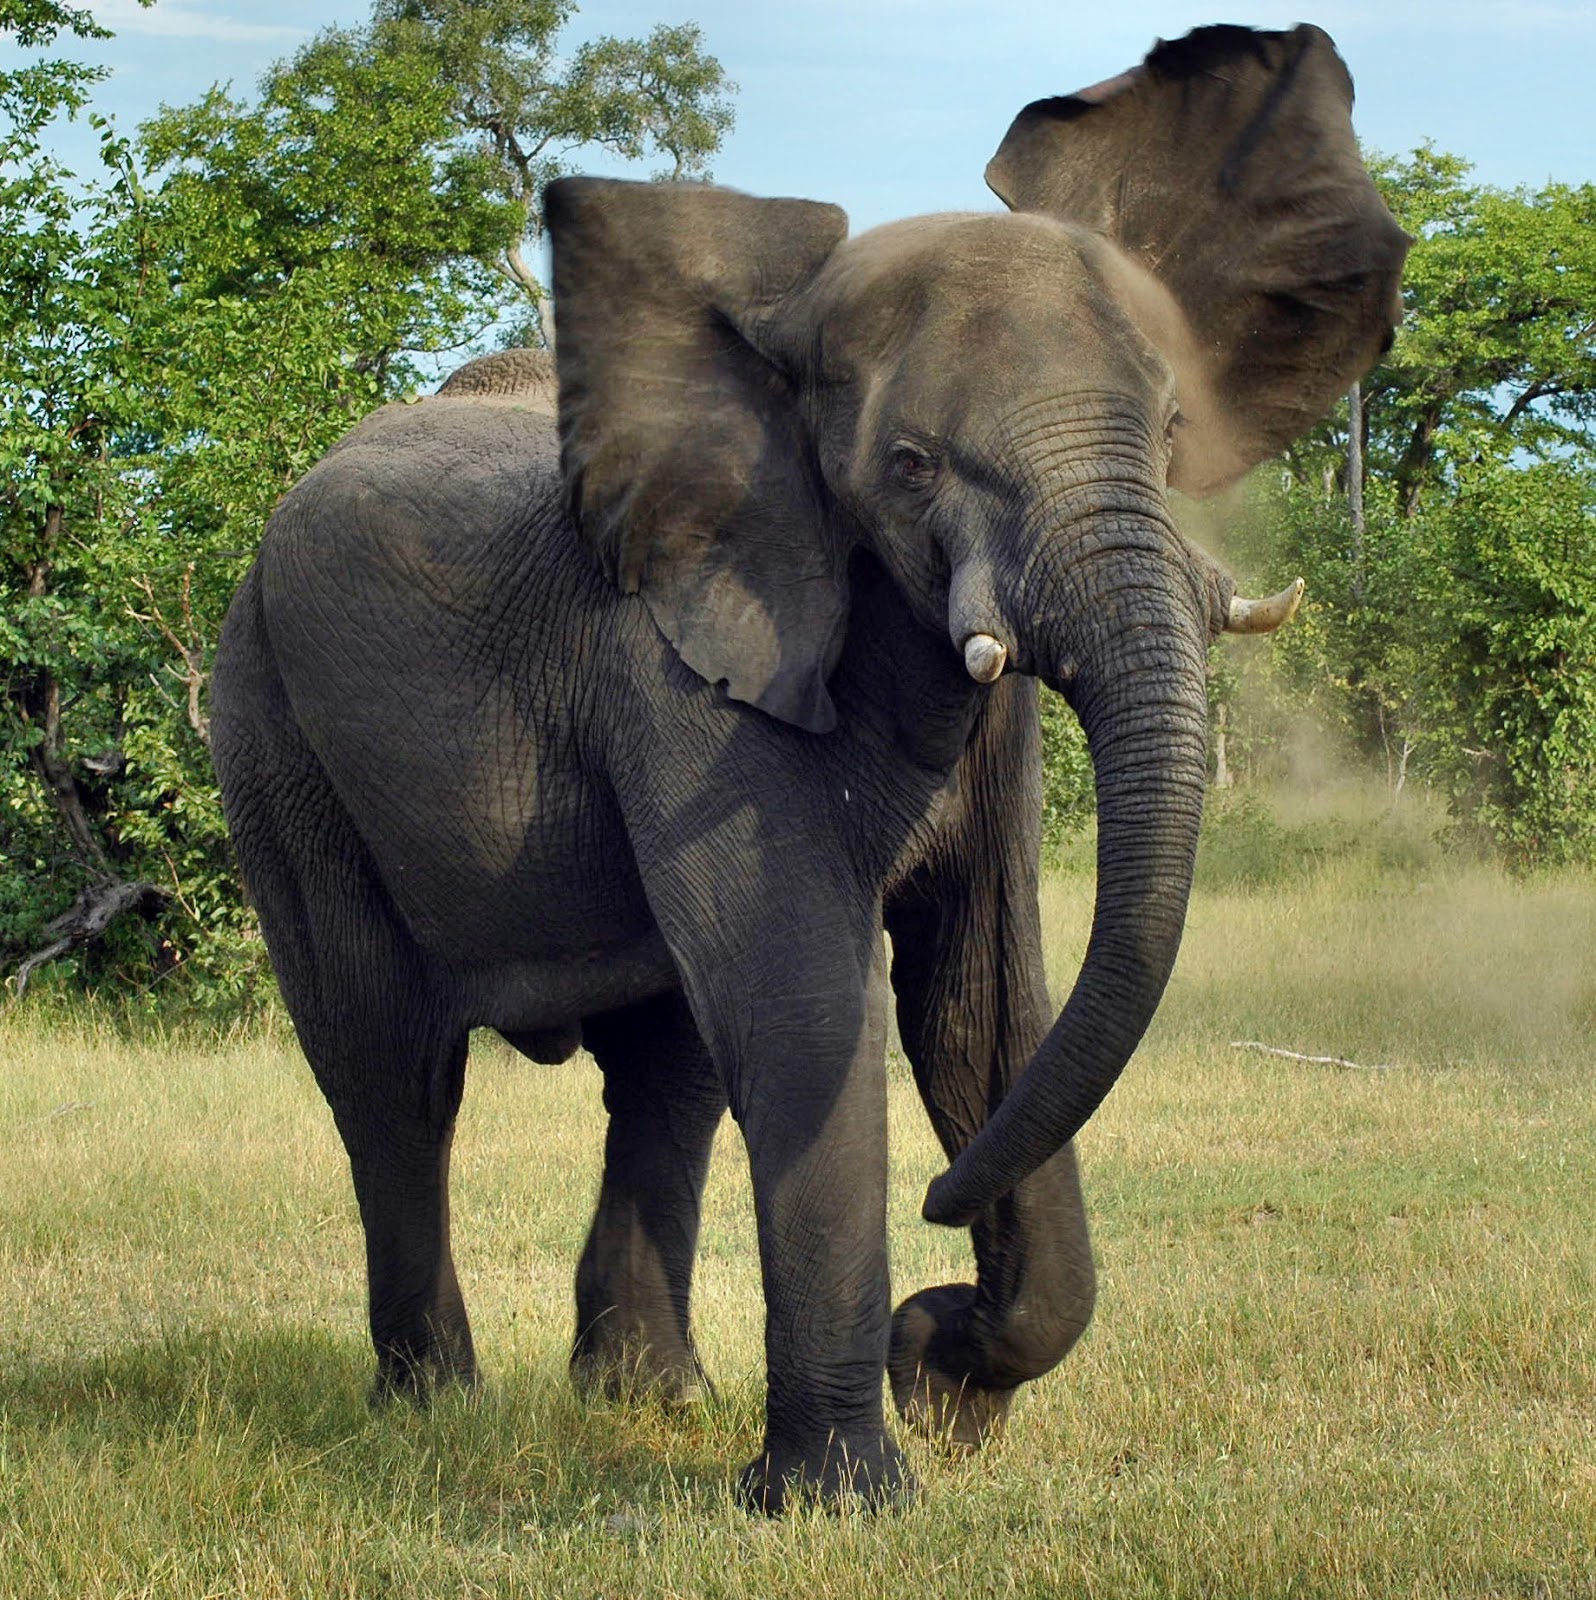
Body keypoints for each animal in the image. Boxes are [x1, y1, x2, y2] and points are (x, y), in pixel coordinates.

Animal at [209, 23, 1407, 1511]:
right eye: (910, 463)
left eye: (1173, 423)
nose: (943, 1254)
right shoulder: (680, 665)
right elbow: (803, 999)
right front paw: (848, 1498)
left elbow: (981, 1001)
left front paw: (947, 1392)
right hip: (272, 731)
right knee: (392, 1069)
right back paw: (435, 1411)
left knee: (662, 1070)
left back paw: (651, 1397)